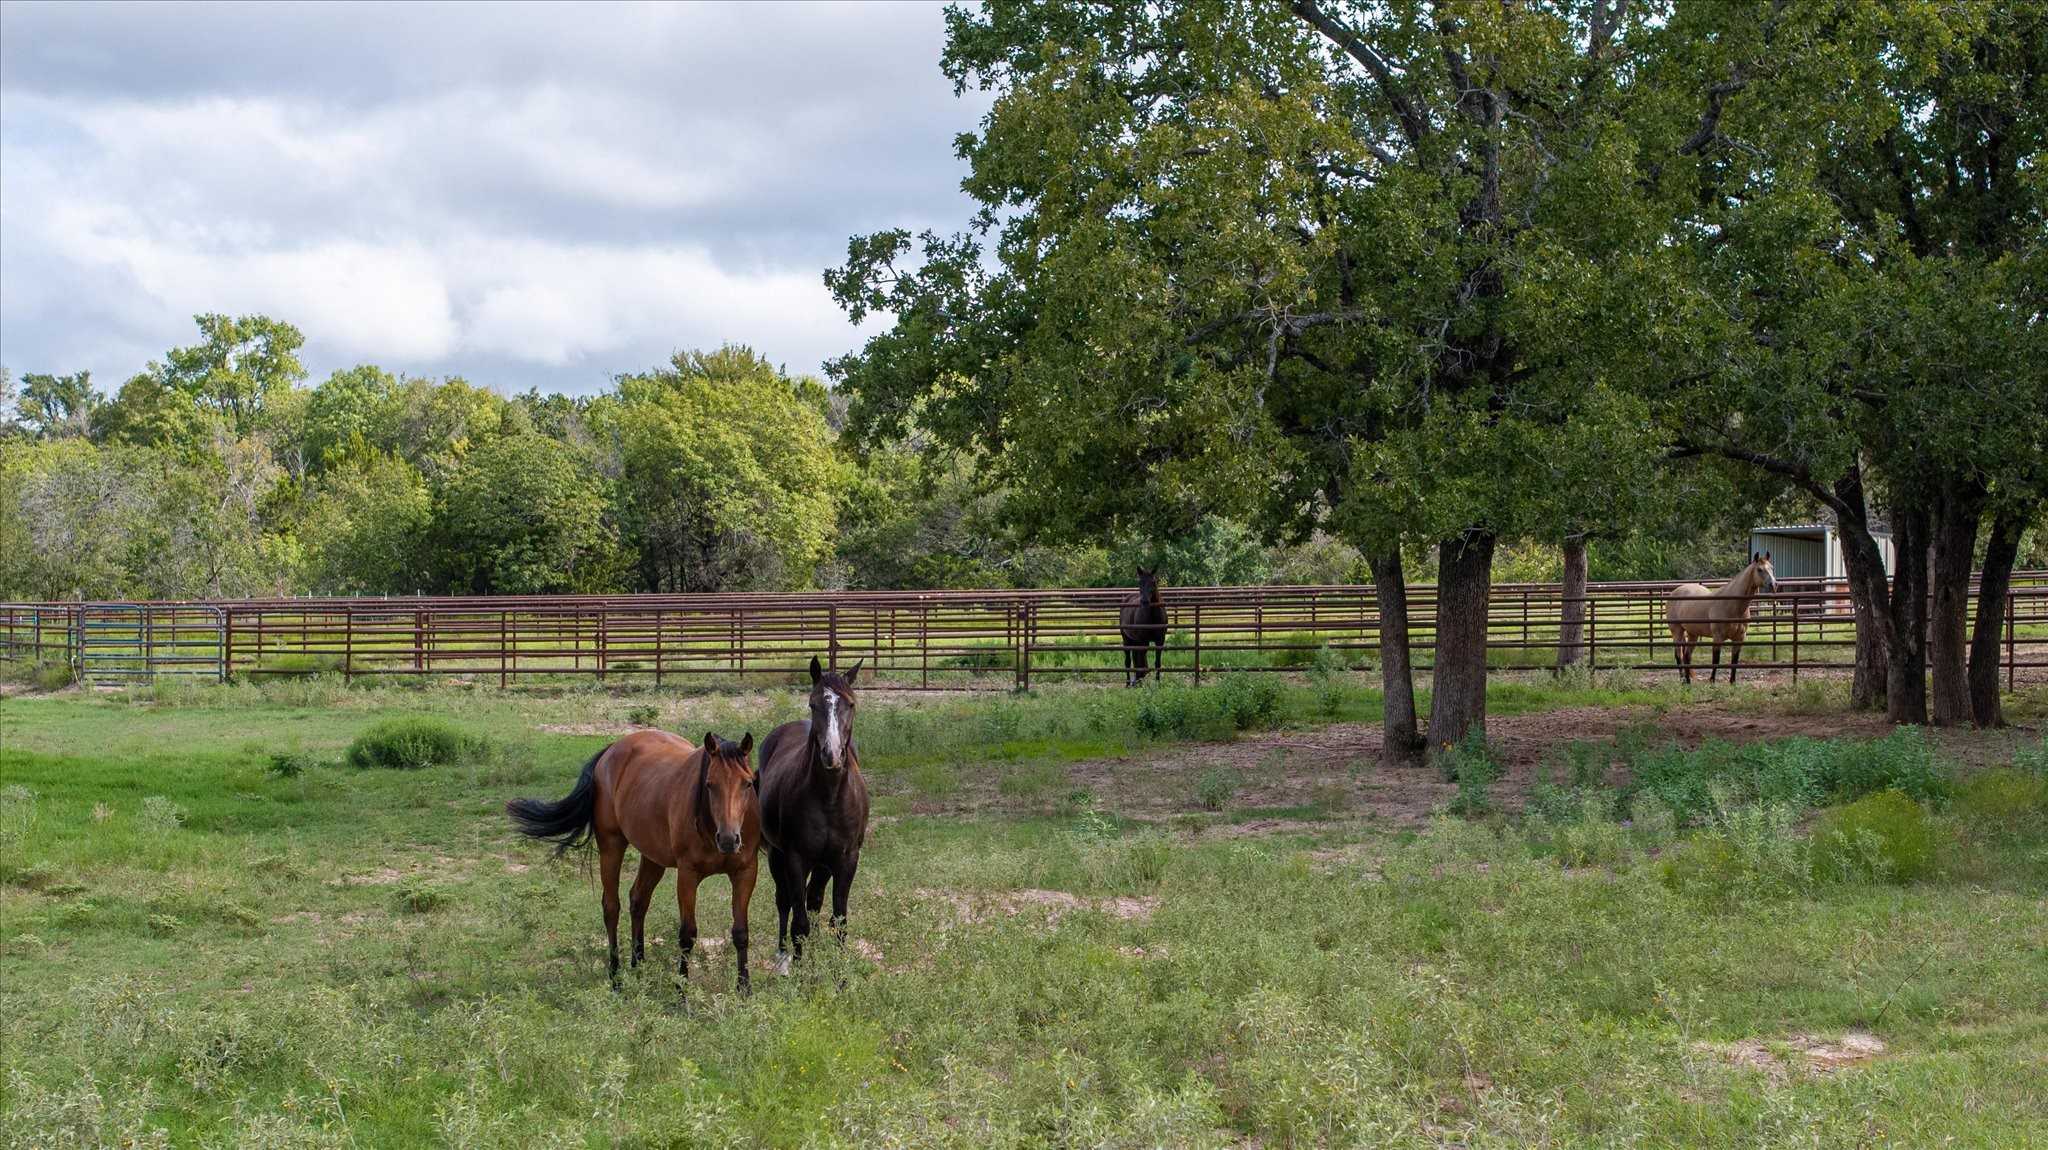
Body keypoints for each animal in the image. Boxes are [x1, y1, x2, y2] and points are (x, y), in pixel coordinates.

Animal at [507, 728, 765, 990]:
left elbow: (741, 932)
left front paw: (744, 990)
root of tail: (611, 750)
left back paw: (639, 967)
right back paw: (616, 978)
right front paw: (682, 992)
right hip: (611, 846)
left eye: (747, 783)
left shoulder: (745, 872)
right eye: (710, 785)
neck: (707, 822)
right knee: (611, 907)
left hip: (653, 857)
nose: (728, 839)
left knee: (638, 900)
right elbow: (687, 935)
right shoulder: (687, 875)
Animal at [761, 650, 872, 961]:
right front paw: (799, 967)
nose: (831, 755)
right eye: (813, 704)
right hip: (776, 854)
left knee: (814, 900)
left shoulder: (846, 858)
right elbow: (799, 921)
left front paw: (840, 969)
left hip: (824, 864)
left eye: (850, 704)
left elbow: (839, 919)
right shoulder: (796, 858)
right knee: (784, 901)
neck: (830, 796)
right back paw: (783, 956)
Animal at [1662, 548, 1777, 679]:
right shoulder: (1718, 637)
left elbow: (1734, 662)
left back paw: (1688, 681)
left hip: (1693, 634)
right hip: (1677, 631)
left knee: (1687, 656)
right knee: (1678, 655)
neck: (1732, 604)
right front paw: (1712, 681)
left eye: (1772, 568)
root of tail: (1675, 592)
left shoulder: (1739, 638)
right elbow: (1715, 660)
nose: (1774, 585)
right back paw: (1682, 679)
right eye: (1759, 569)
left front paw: (1732, 682)